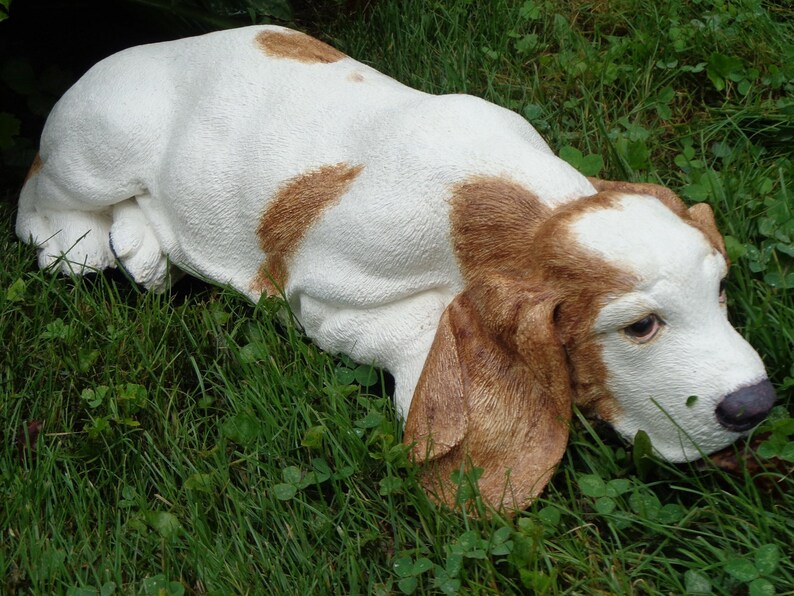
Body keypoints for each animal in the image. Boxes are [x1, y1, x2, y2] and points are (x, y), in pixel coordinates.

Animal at [17, 25, 772, 510]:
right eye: (640, 327)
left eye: (721, 290)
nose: (756, 404)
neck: (502, 201)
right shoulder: (325, 299)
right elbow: (413, 328)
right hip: (99, 149)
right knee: (35, 201)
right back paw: (80, 243)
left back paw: (144, 252)